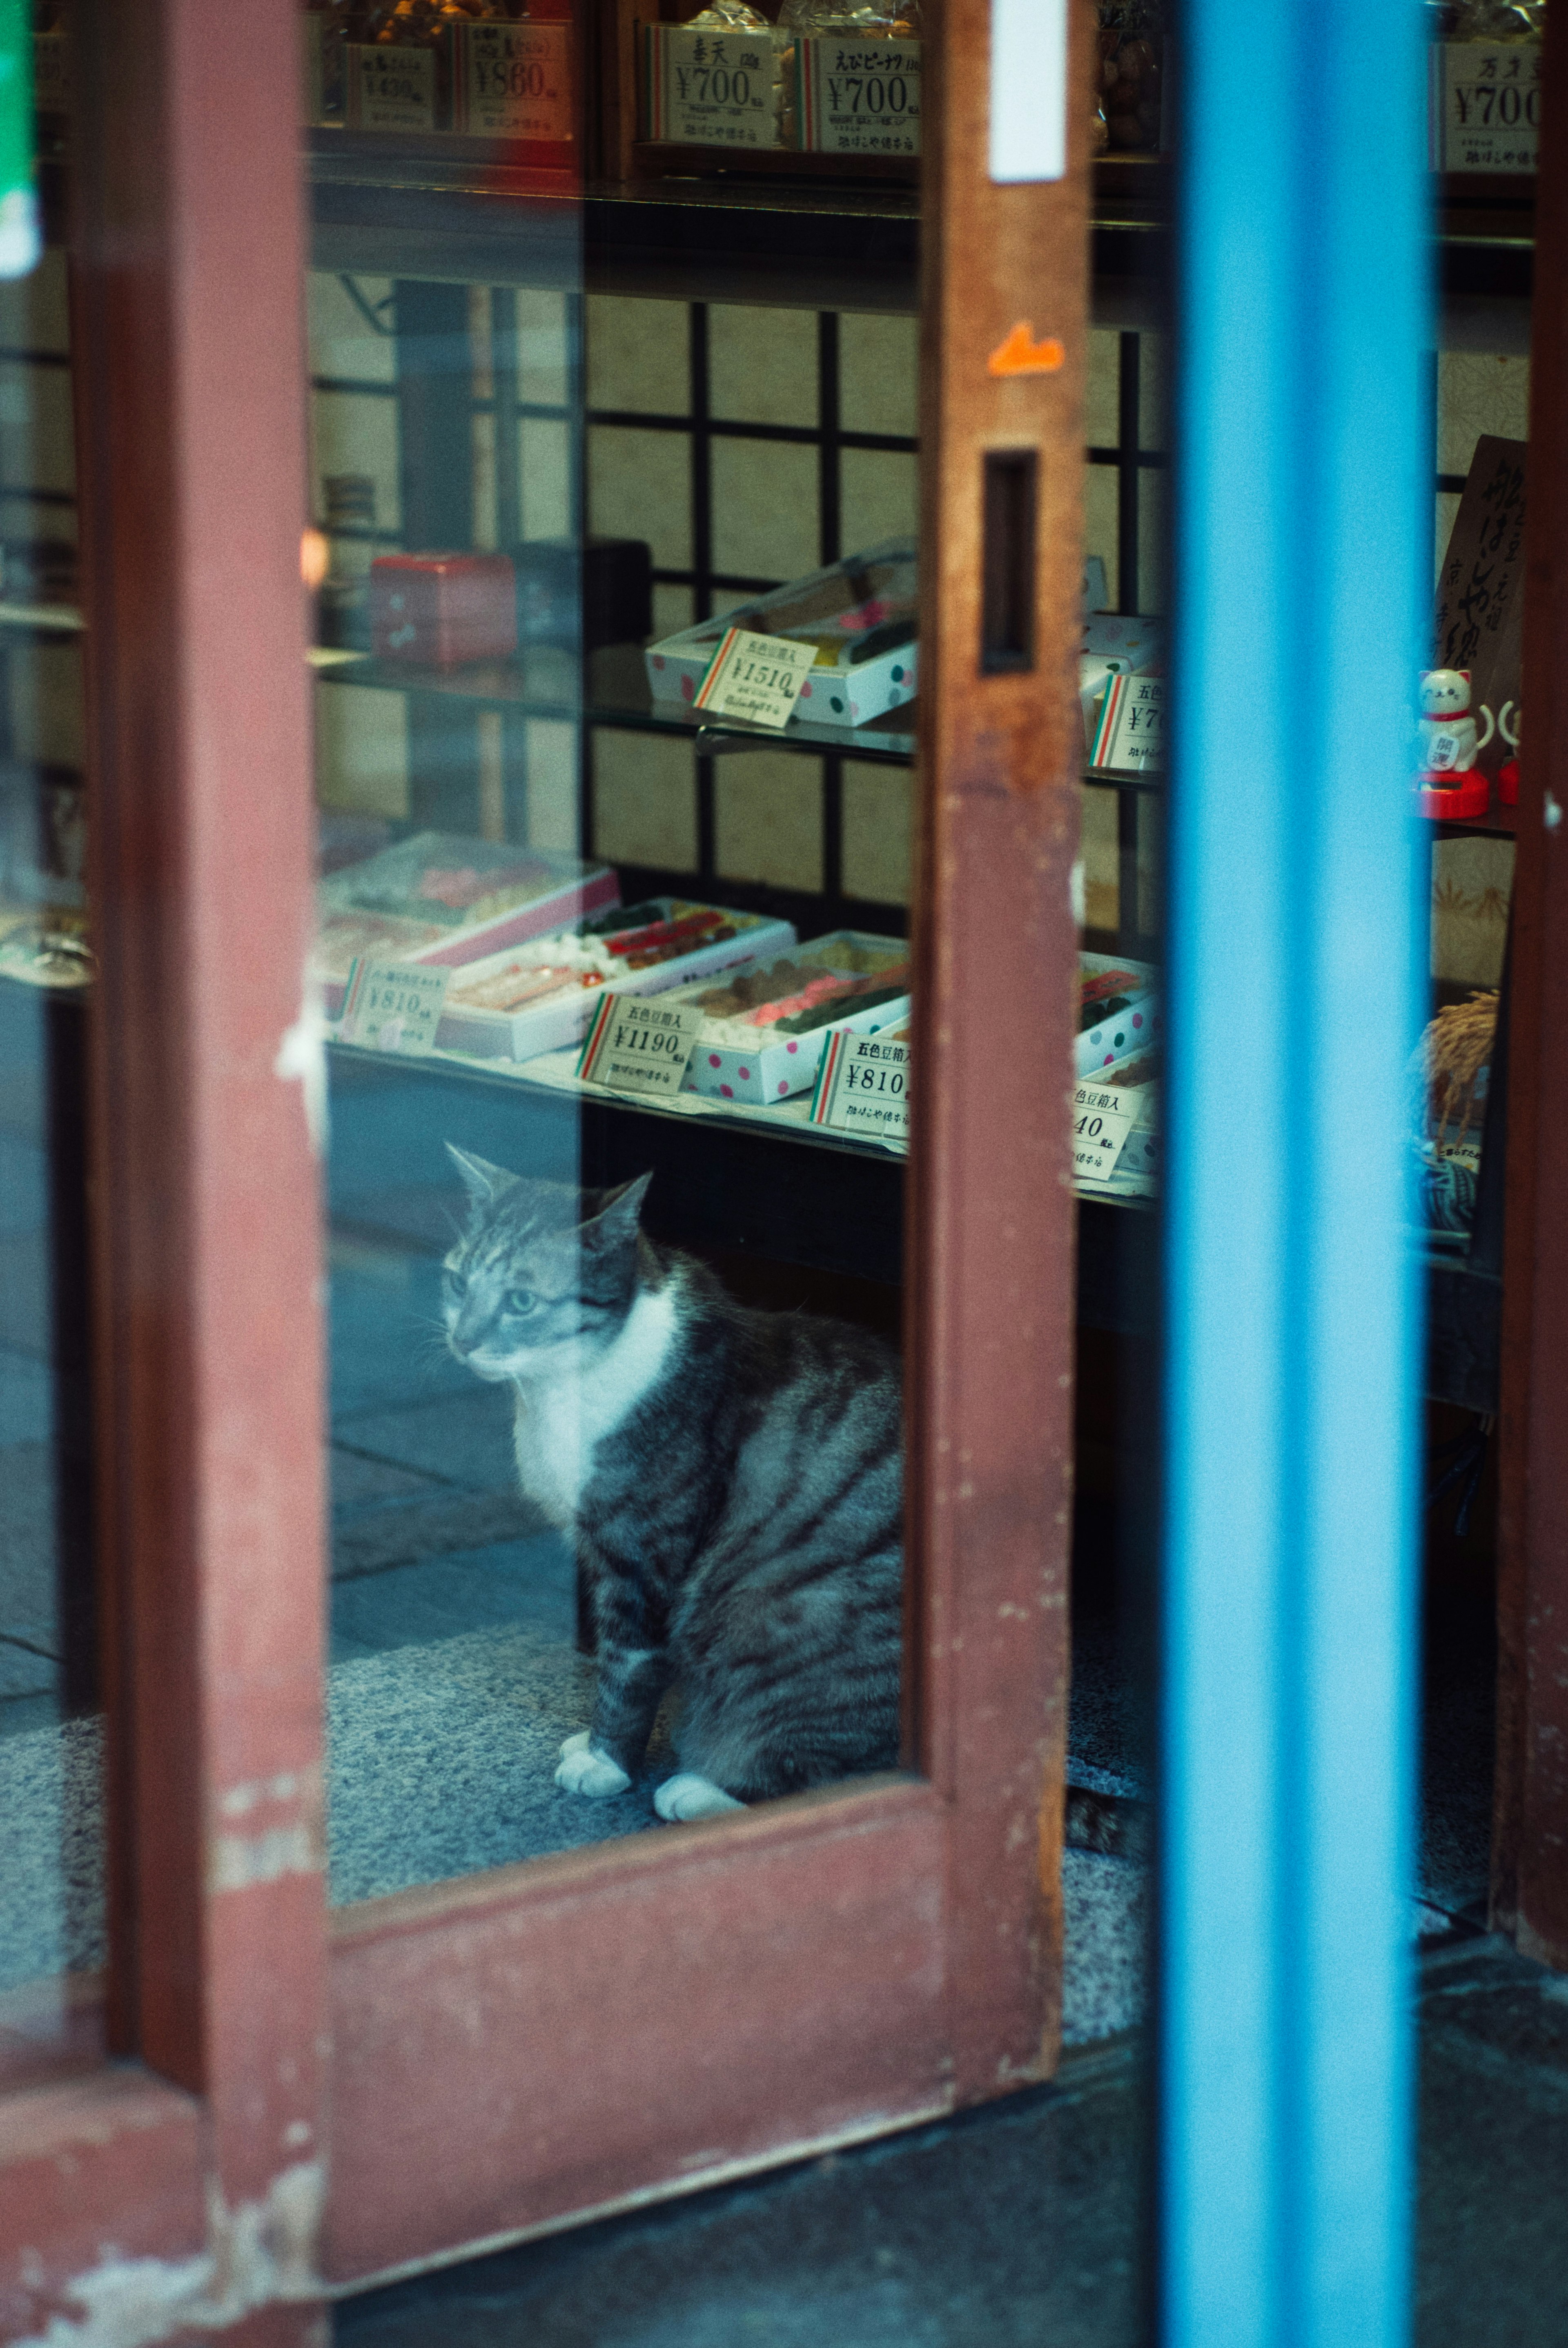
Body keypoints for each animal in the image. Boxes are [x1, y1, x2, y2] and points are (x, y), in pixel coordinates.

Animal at [441, 1146, 906, 1822]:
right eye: (458, 1282)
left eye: (522, 1301)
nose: (462, 1340)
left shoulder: (639, 1562)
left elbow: (626, 1671)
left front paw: (605, 1762)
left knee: (832, 1775)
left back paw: (698, 1789)